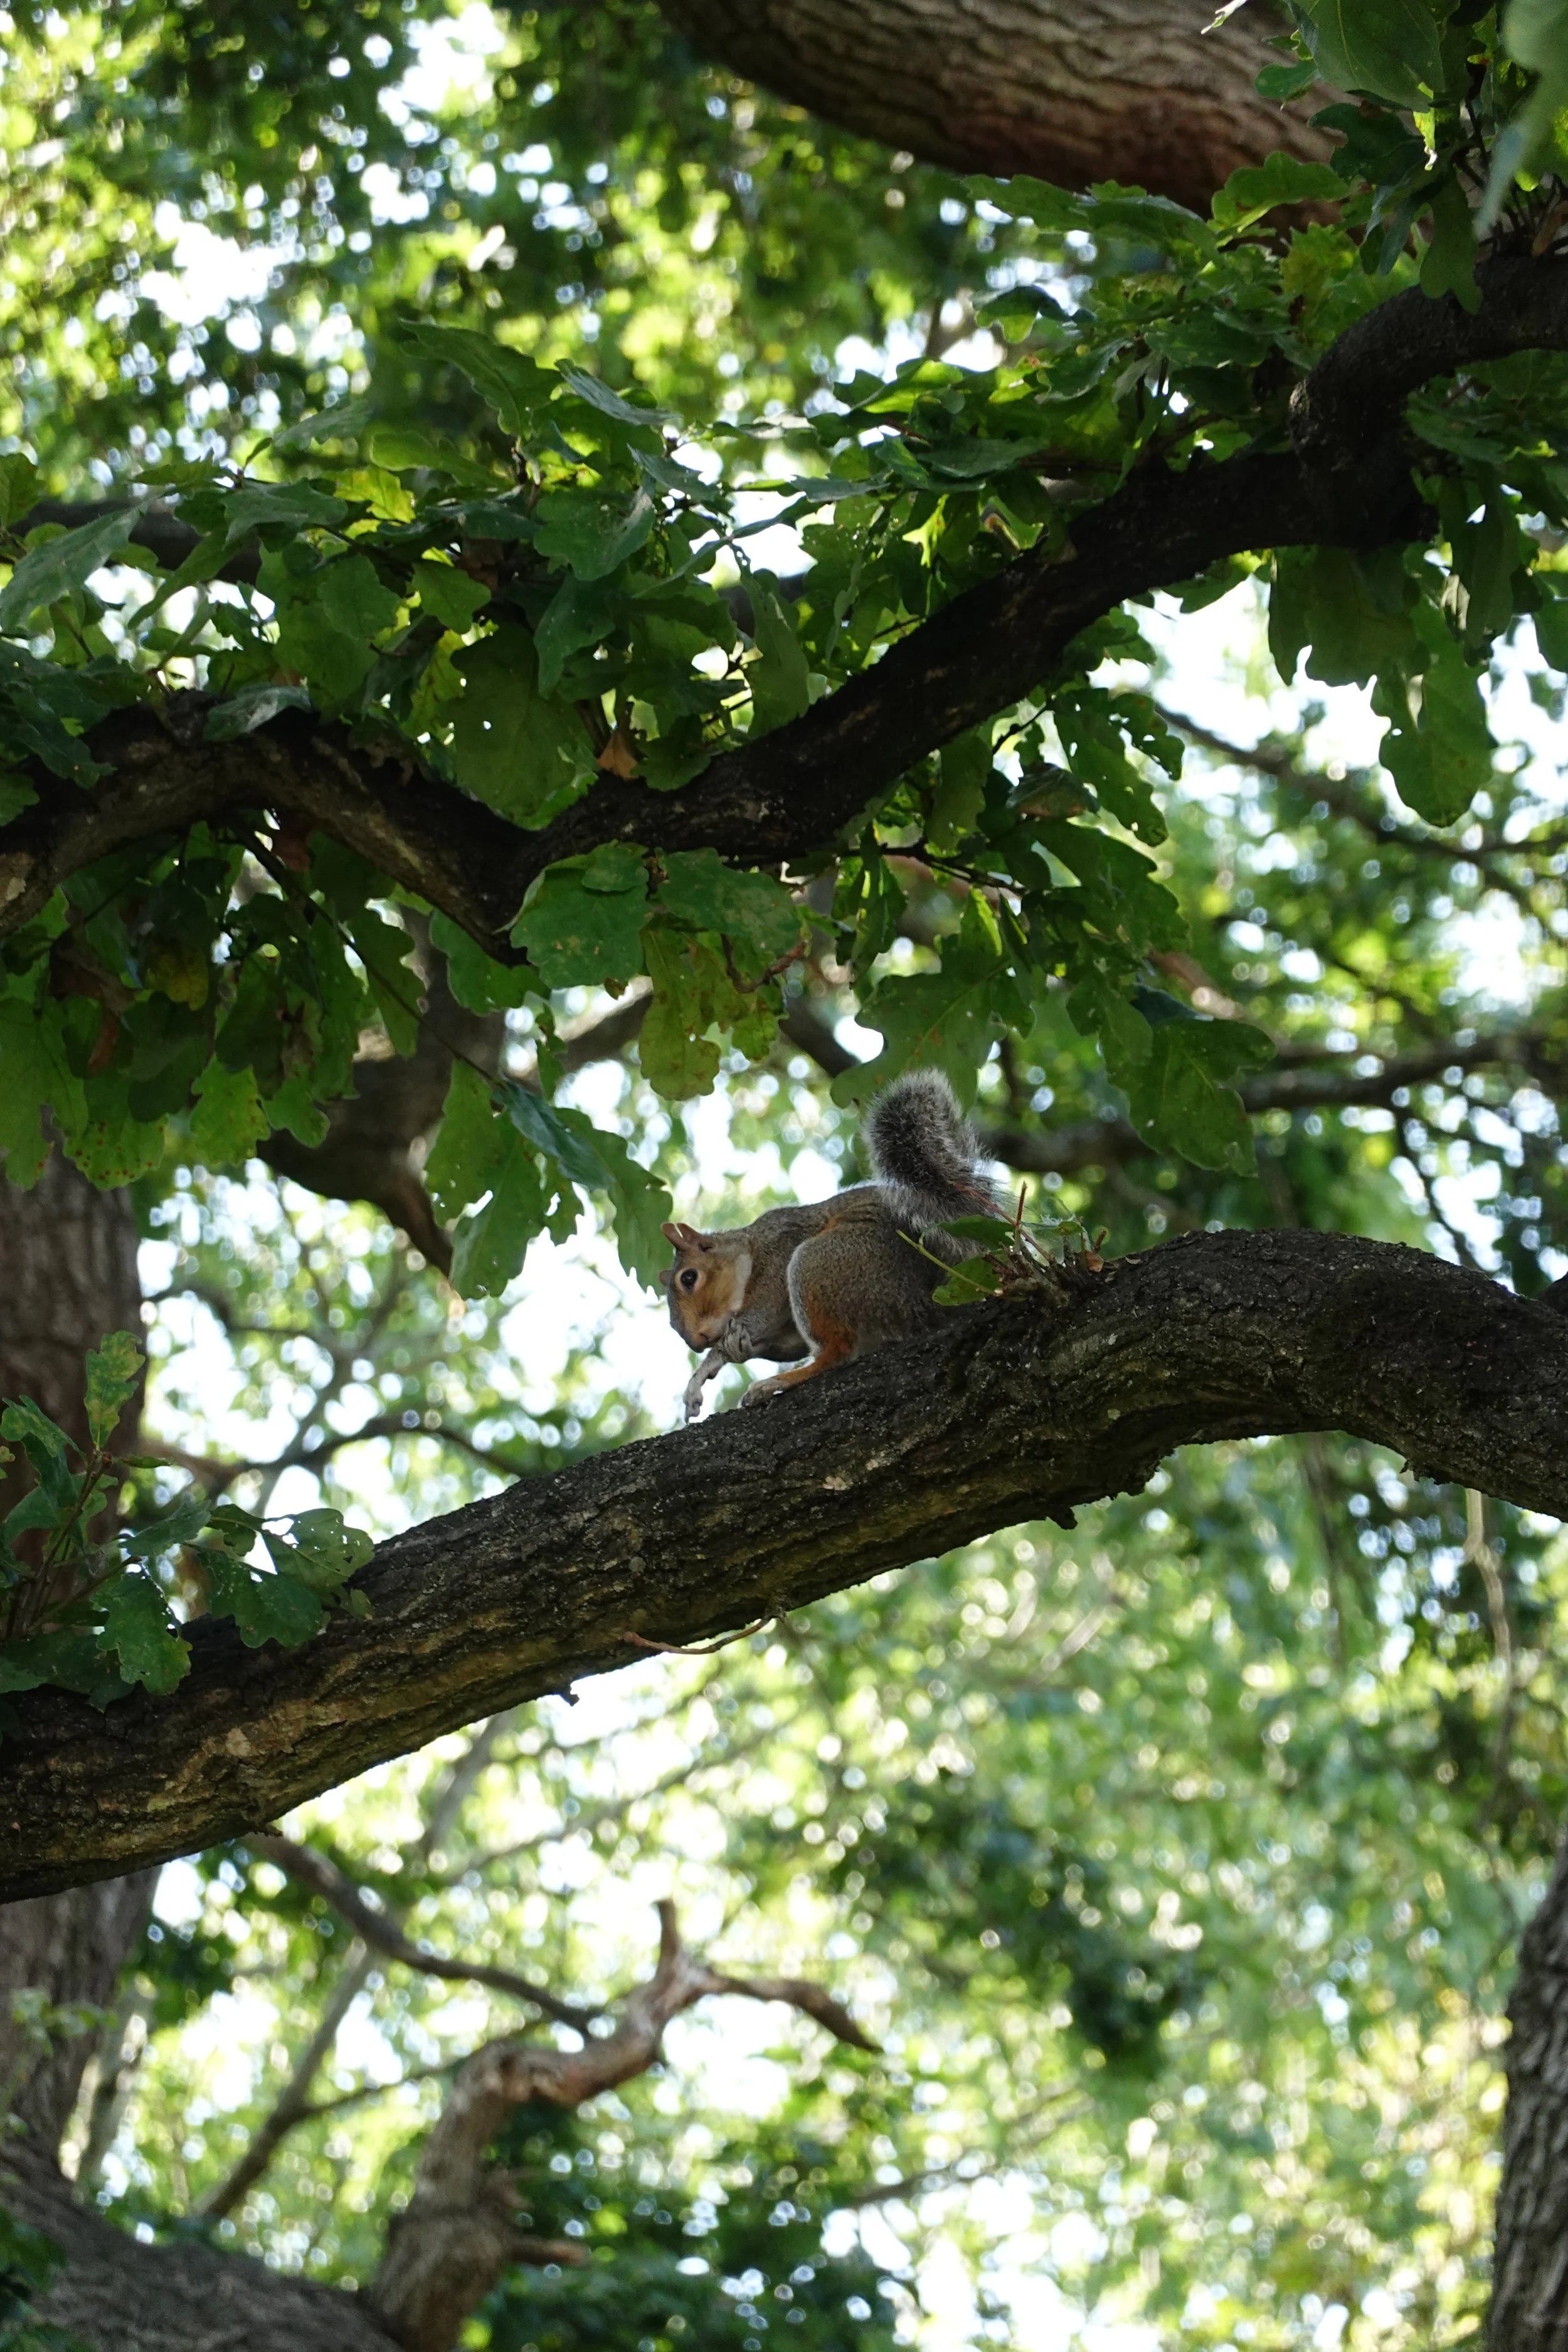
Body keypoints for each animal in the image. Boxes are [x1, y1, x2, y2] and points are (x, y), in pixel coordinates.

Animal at [660, 1068, 999, 1422]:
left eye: (689, 1278)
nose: (696, 1341)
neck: (748, 1250)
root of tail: (929, 1305)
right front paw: (730, 1353)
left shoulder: (780, 1250)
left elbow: (763, 1310)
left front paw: (711, 1361)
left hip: (822, 1263)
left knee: (837, 1352)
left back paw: (778, 1382)